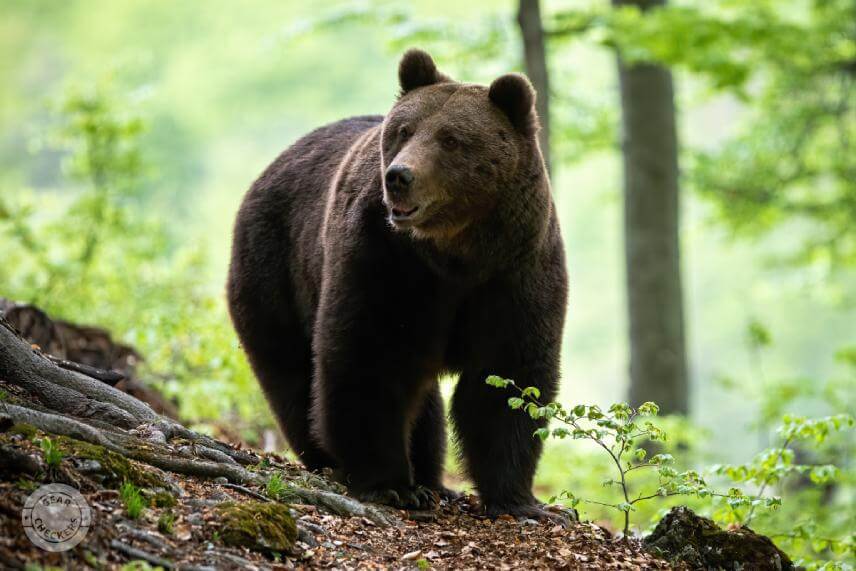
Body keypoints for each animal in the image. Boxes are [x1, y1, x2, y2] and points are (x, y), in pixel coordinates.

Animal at [227, 49, 568, 520]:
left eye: (451, 139)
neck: (456, 252)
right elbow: (368, 356)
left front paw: (519, 500)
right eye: (404, 130)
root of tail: (270, 167)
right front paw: (388, 484)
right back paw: (338, 461)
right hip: (274, 266)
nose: (399, 176)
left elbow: (508, 377)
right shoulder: (385, 262)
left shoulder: (516, 270)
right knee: (291, 370)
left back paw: (430, 480)